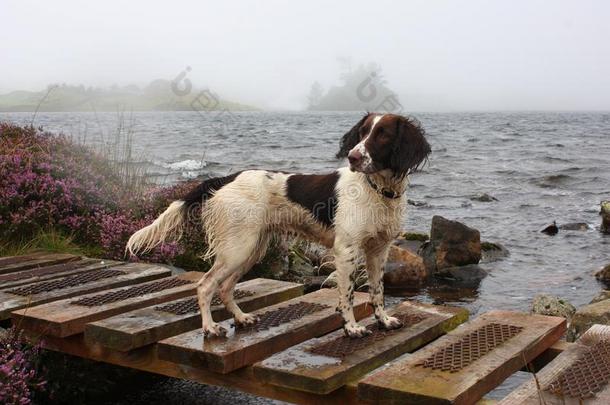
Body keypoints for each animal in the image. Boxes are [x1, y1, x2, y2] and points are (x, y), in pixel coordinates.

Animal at [124, 112, 428, 336]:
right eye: (363, 132)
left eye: (382, 134)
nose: (352, 156)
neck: (379, 191)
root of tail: (226, 178)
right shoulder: (347, 251)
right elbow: (348, 294)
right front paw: (351, 328)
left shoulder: (379, 250)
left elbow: (377, 291)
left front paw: (384, 320)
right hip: (238, 249)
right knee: (205, 285)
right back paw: (210, 327)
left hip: (251, 248)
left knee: (224, 287)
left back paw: (241, 318)